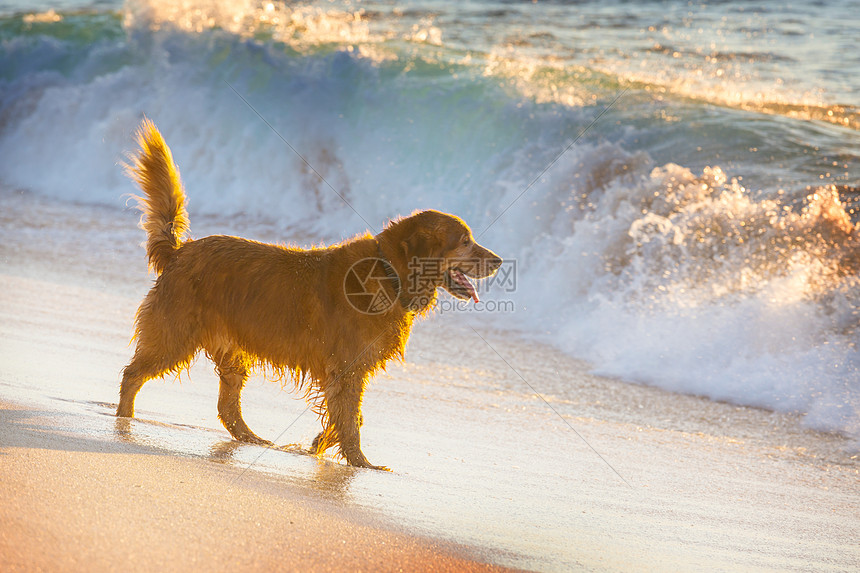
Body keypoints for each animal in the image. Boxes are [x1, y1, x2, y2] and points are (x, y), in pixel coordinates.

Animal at [116, 118, 504, 466]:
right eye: (465, 241)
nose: (499, 260)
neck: (389, 271)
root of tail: (181, 251)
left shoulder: (347, 372)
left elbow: (347, 417)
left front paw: (321, 444)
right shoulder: (347, 368)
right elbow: (350, 421)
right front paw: (360, 463)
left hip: (232, 351)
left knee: (227, 407)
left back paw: (253, 439)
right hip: (175, 335)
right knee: (132, 375)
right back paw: (123, 420)